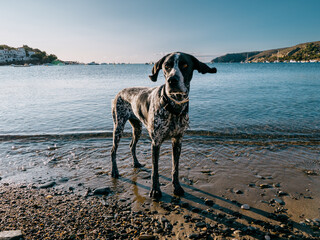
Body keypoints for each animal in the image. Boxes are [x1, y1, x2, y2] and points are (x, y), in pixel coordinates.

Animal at [110, 52, 218, 199]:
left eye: (185, 65)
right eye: (166, 65)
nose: (172, 80)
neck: (173, 107)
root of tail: (120, 92)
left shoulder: (177, 141)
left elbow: (175, 168)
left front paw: (177, 187)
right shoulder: (156, 143)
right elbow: (155, 171)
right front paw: (155, 191)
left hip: (137, 128)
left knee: (132, 145)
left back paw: (136, 163)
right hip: (118, 126)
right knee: (113, 151)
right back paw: (114, 171)